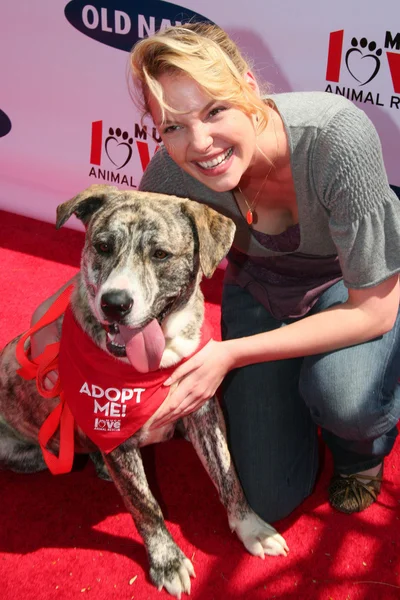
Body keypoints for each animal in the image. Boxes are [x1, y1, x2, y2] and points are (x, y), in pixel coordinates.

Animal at [0, 186, 288, 596]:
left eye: (161, 254)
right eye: (102, 246)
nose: (114, 304)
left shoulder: (204, 412)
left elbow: (229, 474)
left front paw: (250, 529)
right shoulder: (115, 433)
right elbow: (146, 506)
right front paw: (167, 562)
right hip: (38, 454)